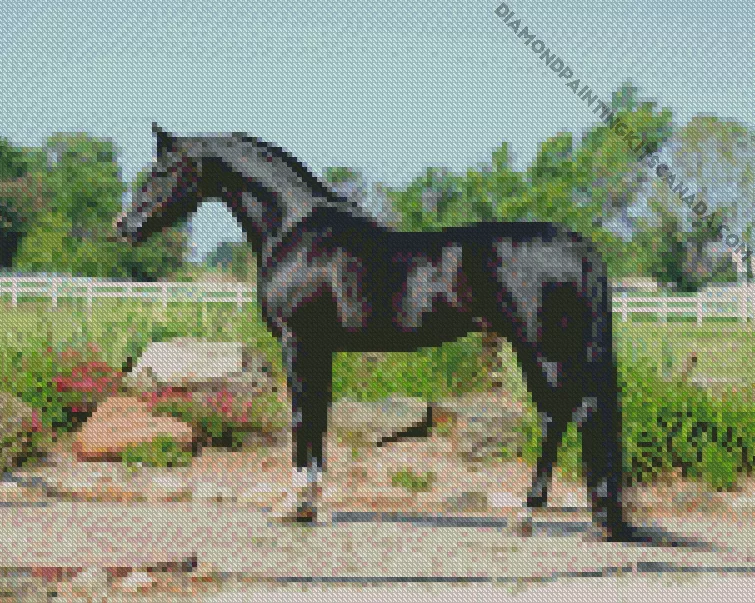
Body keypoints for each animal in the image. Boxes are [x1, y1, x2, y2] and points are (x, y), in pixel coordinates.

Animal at [116, 123, 637, 541]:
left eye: (161, 171)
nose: (125, 226)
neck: (294, 228)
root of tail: (577, 243)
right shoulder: (320, 348)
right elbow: (318, 416)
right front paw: (312, 505)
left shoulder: (297, 341)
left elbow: (301, 416)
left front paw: (294, 505)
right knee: (572, 413)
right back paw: (592, 519)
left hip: (540, 346)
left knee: (561, 414)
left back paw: (527, 515)